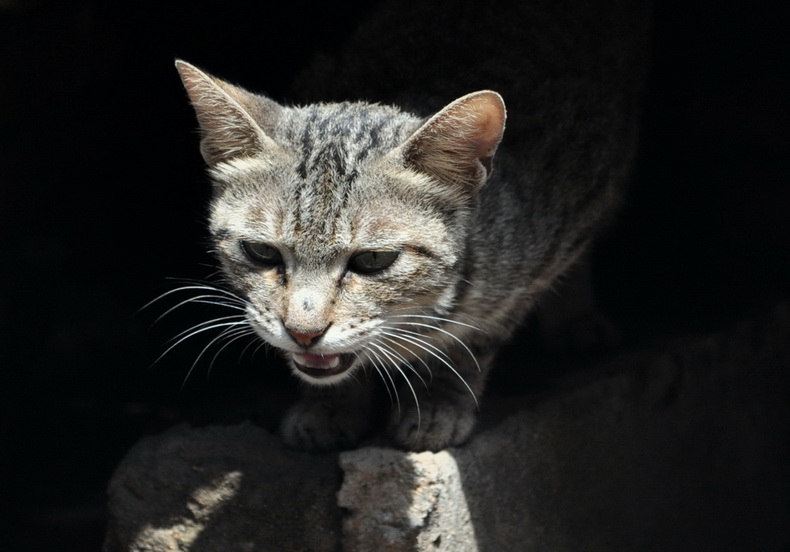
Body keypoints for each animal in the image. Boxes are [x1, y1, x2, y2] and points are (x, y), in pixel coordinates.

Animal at [173, 0, 648, 450]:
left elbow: (470, 341)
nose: (303, 334)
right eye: (261, 252)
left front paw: (438, 401)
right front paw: (330, 406)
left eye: (373, 261)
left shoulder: (537, 260)